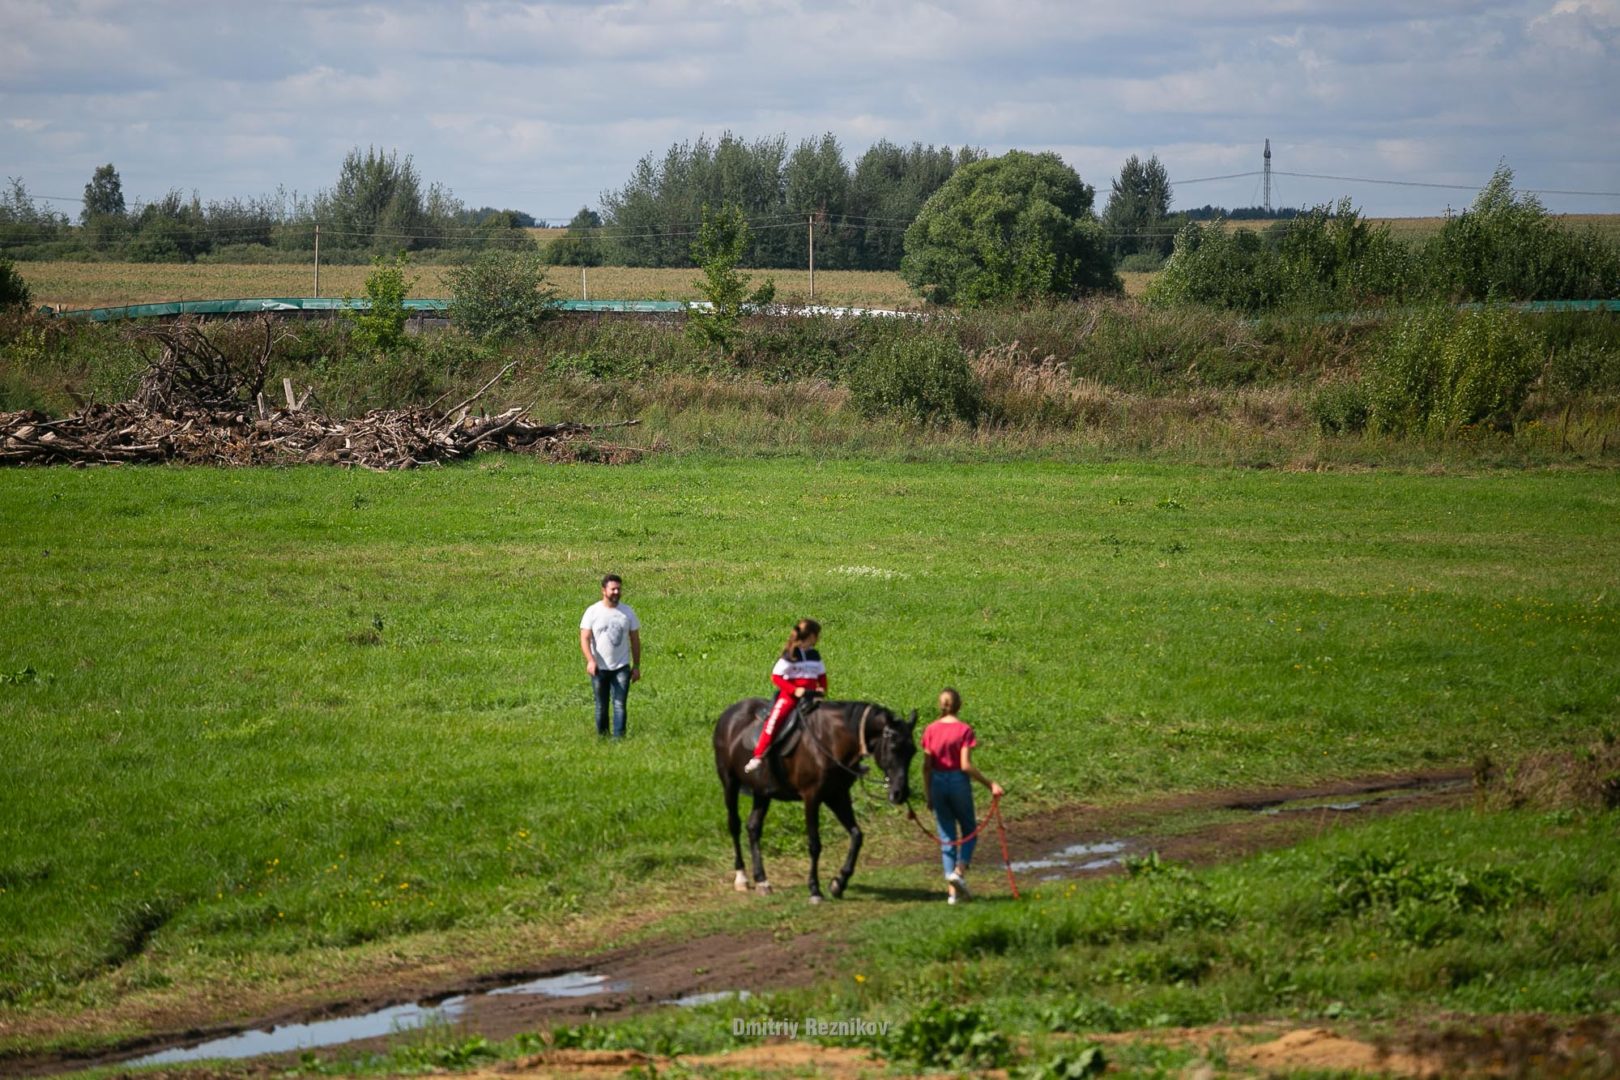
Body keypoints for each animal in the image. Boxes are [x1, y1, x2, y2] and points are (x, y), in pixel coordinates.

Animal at [716, 696, 920, 900]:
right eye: (893, 747)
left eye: (913, 751)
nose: (900, 793)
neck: (831, 741)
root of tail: (728, 714)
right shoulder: (811, 797)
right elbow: (815, 844)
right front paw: (814, 889)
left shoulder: (837, 794)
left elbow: (857, 835)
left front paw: (839, 883)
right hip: (729, 783)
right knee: (734, 825)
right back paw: (741, 877)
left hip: (762, 791)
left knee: (753, 827)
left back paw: (762, 880)